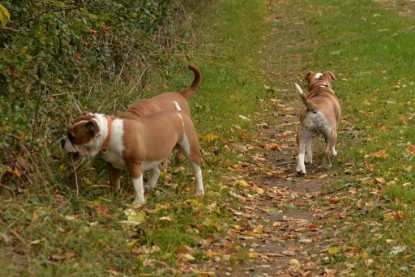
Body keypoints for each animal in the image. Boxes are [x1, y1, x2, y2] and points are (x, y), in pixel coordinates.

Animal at [61, 101, 205, 205]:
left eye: (72, 137)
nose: (62, 141)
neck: (109, 134)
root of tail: (180, 113)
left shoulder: (134, 165)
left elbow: (137, 185)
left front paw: (138, 202)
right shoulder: (112, 166)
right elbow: (114, 181)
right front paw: (114, 195)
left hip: (190, 149)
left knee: (197, 170)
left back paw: (199, 191)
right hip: (156, 153)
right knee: (157, 170)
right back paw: (150, 186)